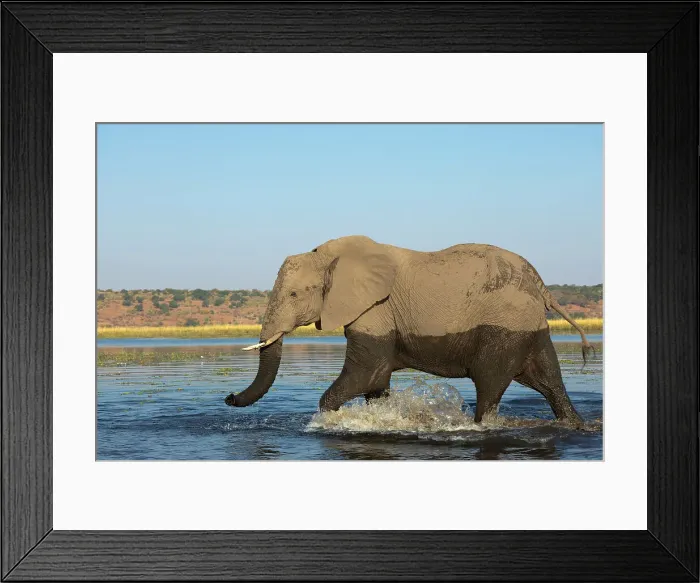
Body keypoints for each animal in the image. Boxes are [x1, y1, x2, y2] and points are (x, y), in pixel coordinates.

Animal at [225, 235, 593, 426]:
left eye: (293, 295)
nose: (228, 397)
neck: (329, 255)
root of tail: (539, 283)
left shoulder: (375, 307)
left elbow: (365, 372)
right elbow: (375, 381)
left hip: (505, 326)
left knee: (490, 385)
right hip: (528, 327)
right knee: (550, 381)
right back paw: (575, 425)